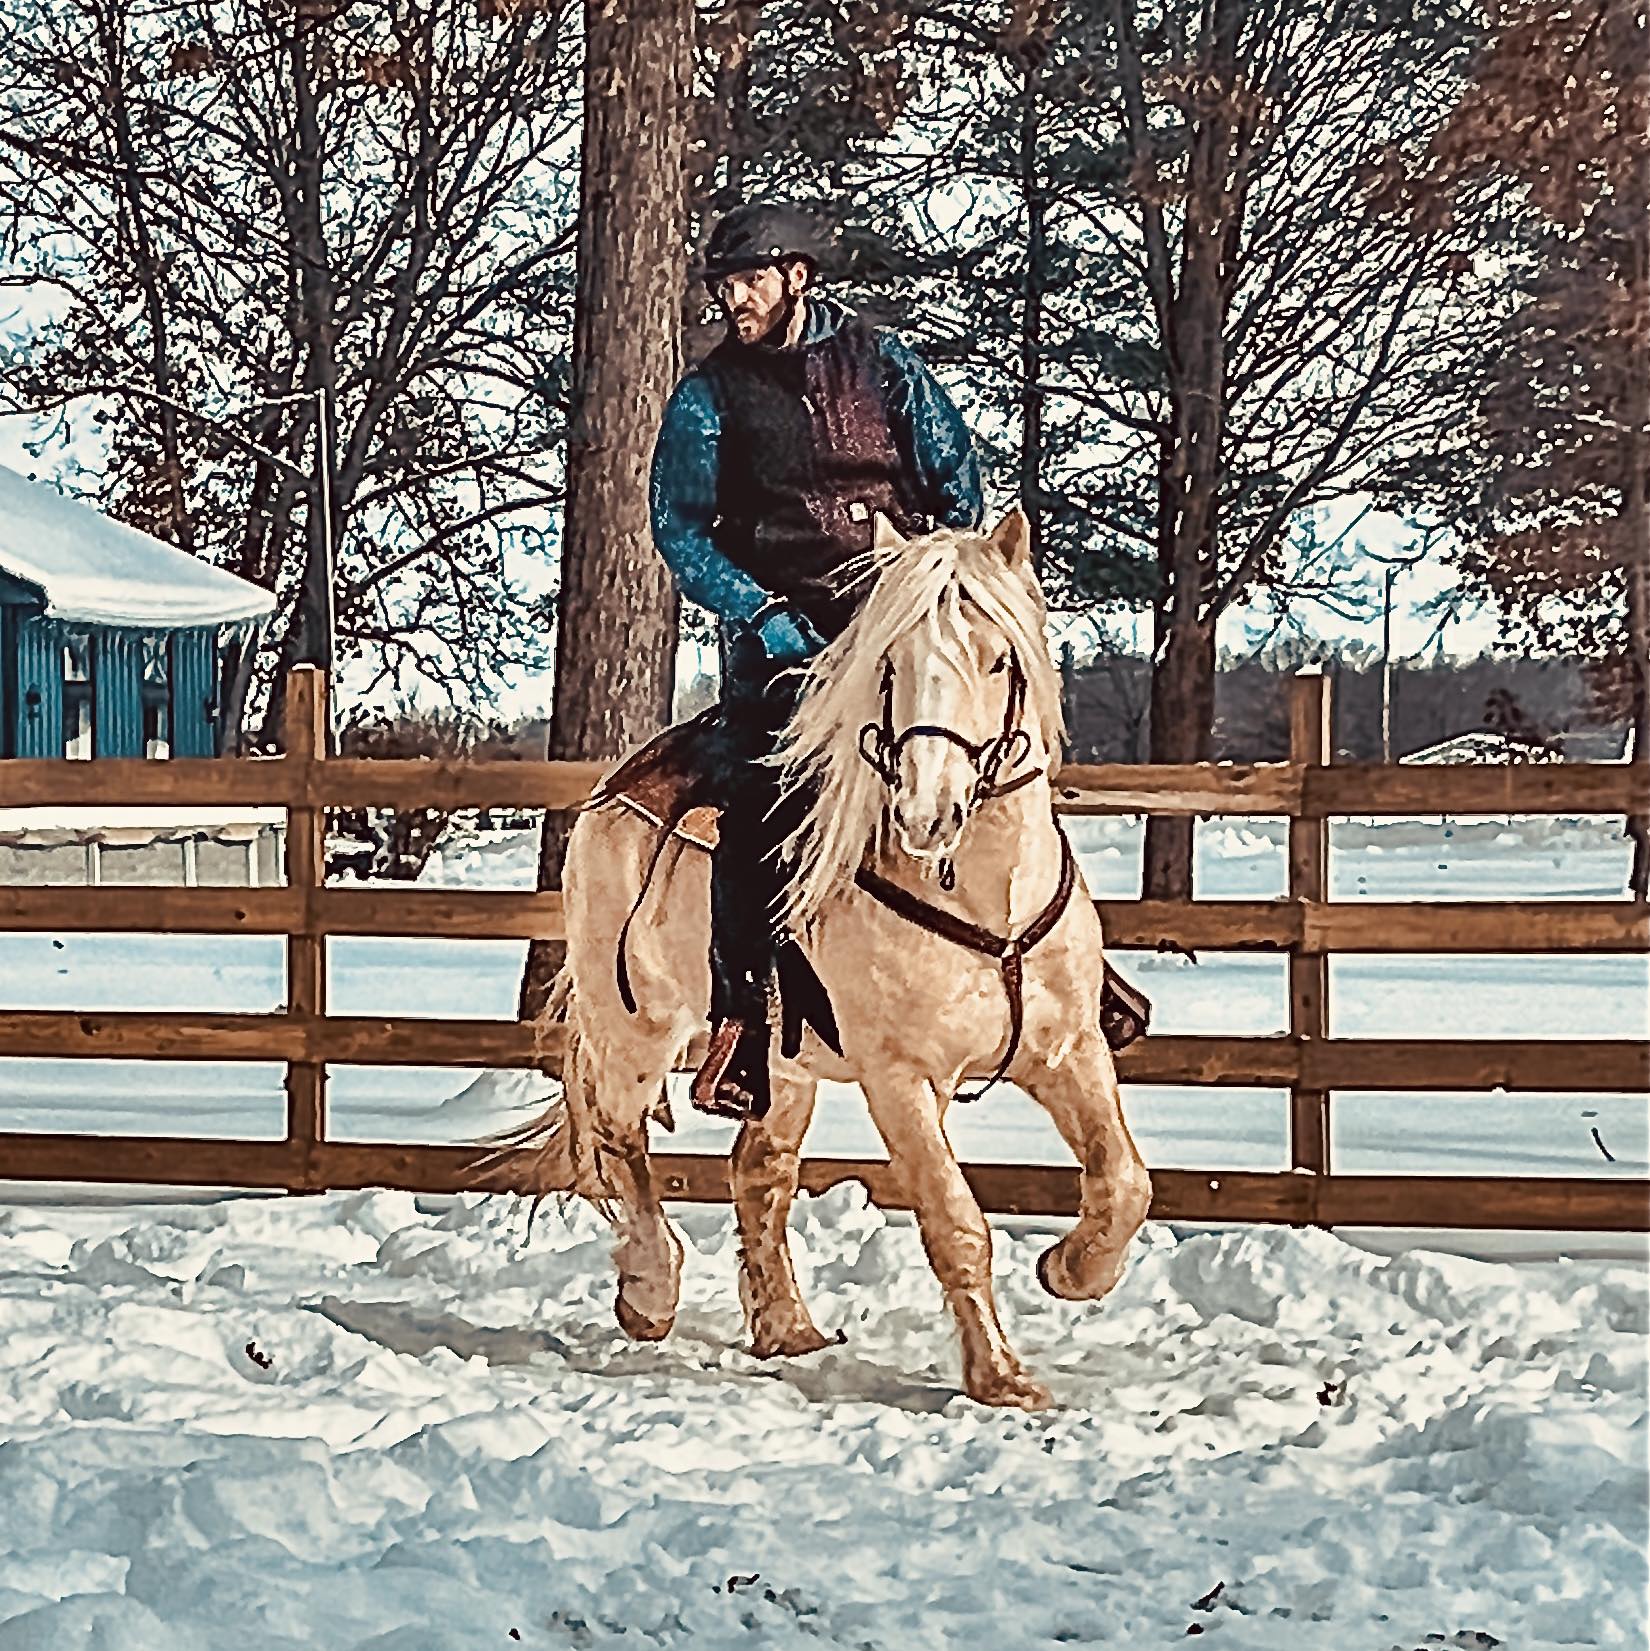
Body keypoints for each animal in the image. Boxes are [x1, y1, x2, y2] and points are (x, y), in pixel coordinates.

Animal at [515, 511, 1149, 1406]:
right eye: (891, 662)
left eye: (999, 658)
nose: (928, 812)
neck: (984, 896)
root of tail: (615, 790)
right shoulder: (902, 1079)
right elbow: (955, 1220)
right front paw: (1000, 1376)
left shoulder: (1069, 1051)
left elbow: (1124, 1179)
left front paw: (1070, 1268)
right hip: (632, 1030)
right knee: (619, 1138)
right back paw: (650, 1289)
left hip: (780, 1066)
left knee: (759, 1169)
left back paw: (788, 1328)